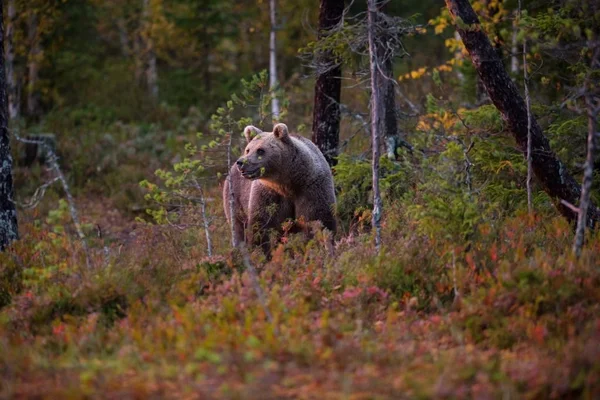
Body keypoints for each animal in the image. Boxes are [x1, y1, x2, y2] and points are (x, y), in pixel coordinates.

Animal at [224, 122, 338, 253]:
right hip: (236, 198)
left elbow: (319, 220)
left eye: (260, 150)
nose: (241, 162)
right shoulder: (269, 194)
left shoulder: (312, 189)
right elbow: (261, 225)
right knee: (238, 227)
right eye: (248, 149)